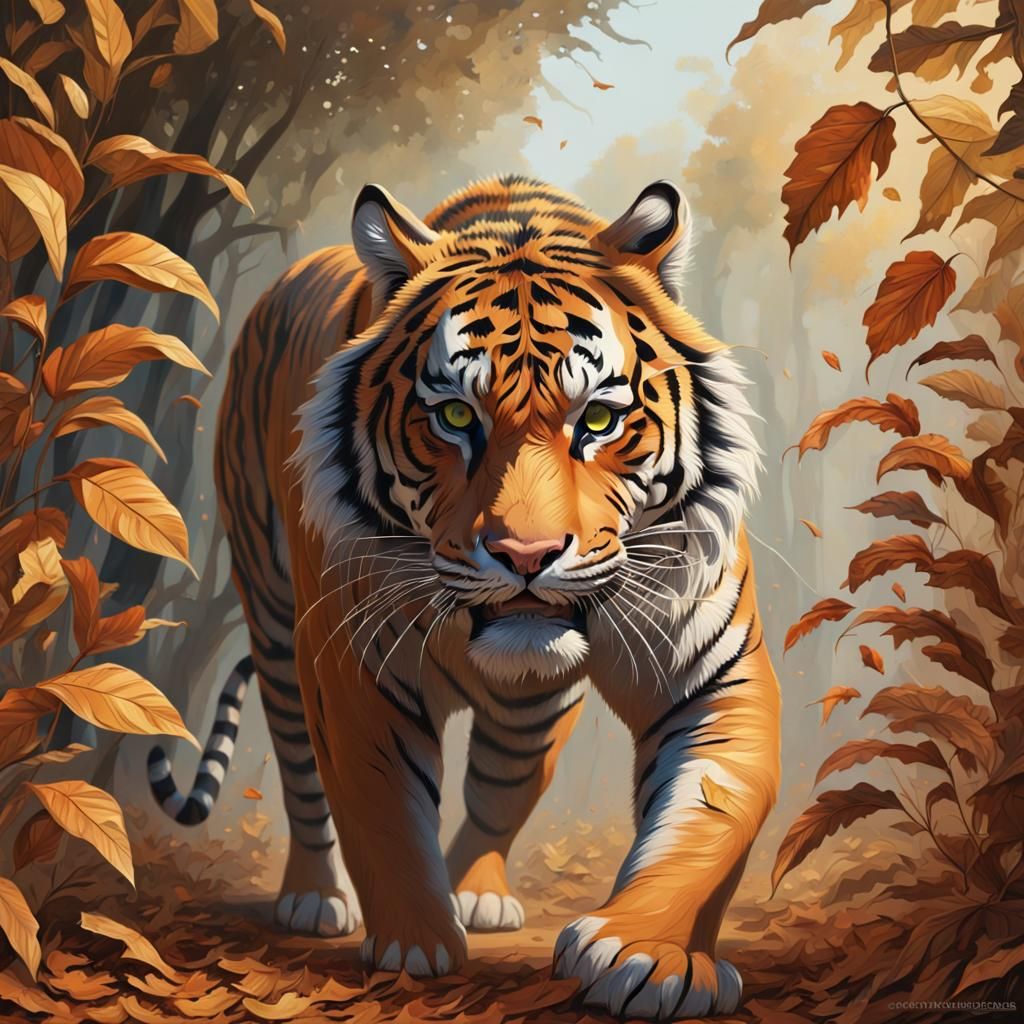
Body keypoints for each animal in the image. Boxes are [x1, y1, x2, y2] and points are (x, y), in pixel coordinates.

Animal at [148, 175, 781, 1019]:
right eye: (454, 416)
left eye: (599, 418)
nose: (527, 555)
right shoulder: (353, 669)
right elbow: (381, 806)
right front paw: (415, 943)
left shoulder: (716, 675)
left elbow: (710, 814)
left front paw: (647, 954)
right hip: (276, 623)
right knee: (300, 769)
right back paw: (316, 897)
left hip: (532, 709)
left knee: (502, 783)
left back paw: (475, 892)